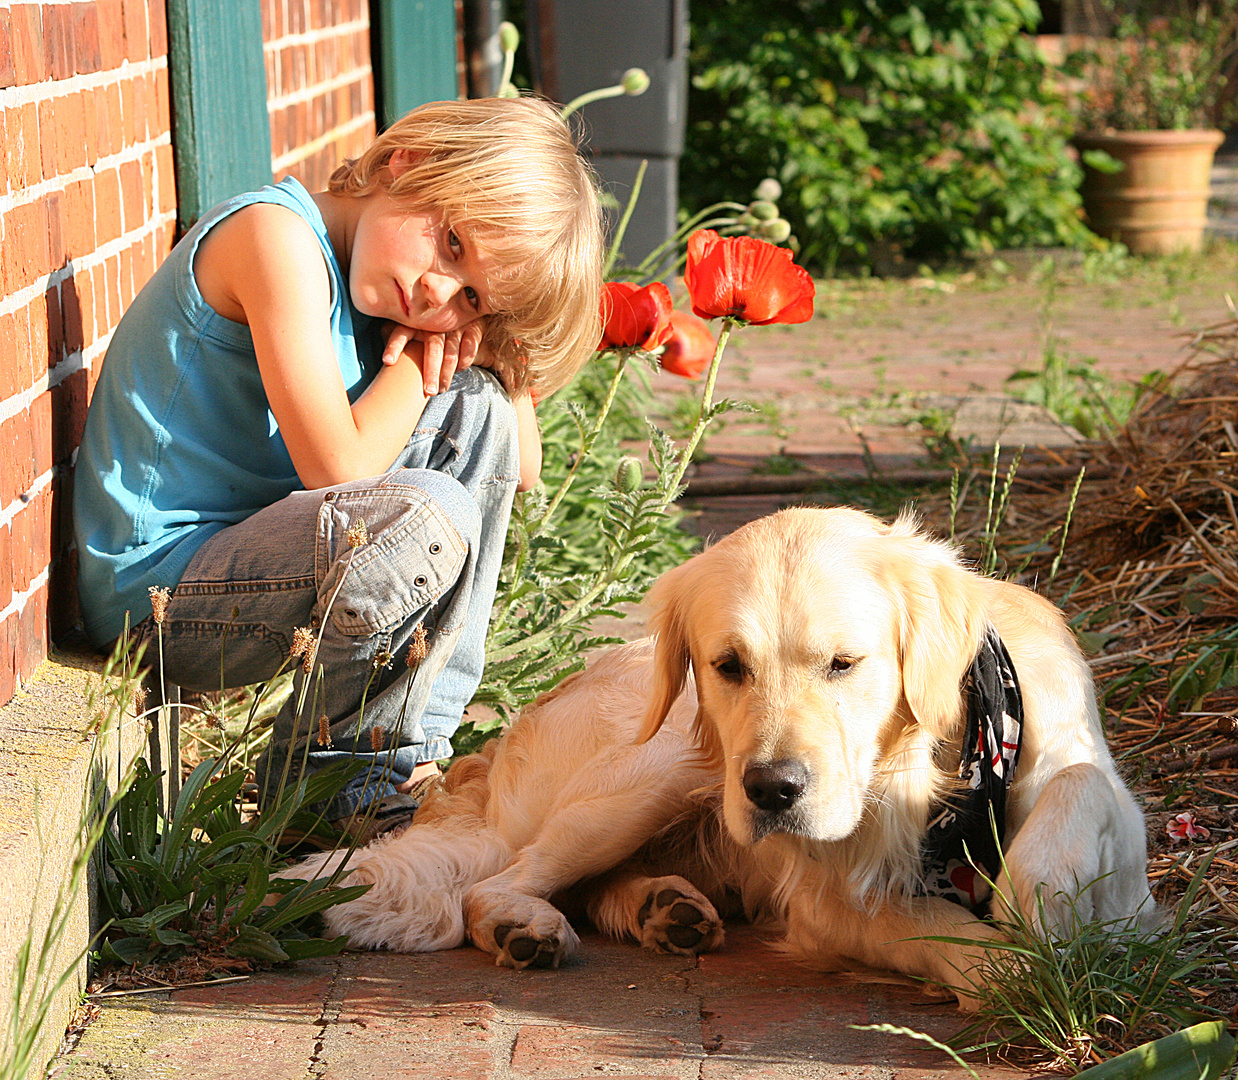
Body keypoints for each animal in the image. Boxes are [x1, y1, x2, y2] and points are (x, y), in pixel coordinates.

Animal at [287, 510, 1148, 1010]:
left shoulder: (1124, 848)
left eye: (845, 663)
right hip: (662, 763)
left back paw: (665, 907)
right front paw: (1007, 968)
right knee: (500, 881)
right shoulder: (830, 903)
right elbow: (938, 929)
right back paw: (524, 924)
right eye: (728, 665)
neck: (931, 777)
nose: (773, 789)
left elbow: (1081, 783)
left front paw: (1040, 893)